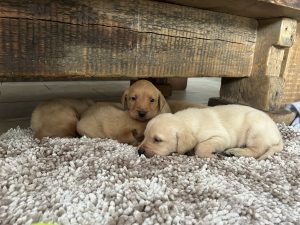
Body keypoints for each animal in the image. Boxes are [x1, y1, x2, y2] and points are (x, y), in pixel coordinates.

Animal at [138, 104, 284, 160]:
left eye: (157, 140)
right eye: (144, 136)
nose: (139, 151)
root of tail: (278, 134)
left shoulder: (221, 137)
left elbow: (201, 147)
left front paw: (211, 156)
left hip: (255, 131)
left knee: (257, 150)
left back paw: (235, 152)